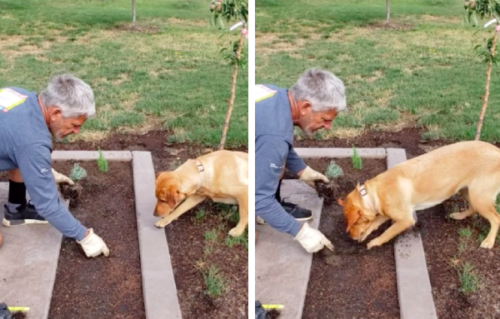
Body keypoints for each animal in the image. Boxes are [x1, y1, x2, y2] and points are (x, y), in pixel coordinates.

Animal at [336, 141, 500, 251]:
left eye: (353, 223)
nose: (350, 238)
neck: (372, 194)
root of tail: (497, 151)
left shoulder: (405, 220)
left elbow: (387, 233)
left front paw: (375, 242)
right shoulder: (386, 213)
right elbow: (374, 222)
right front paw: (366, 234)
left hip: (479, 197)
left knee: (495, 218)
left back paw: (489, 241)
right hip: (467, 192)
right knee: (472, 208)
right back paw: (459, 216)